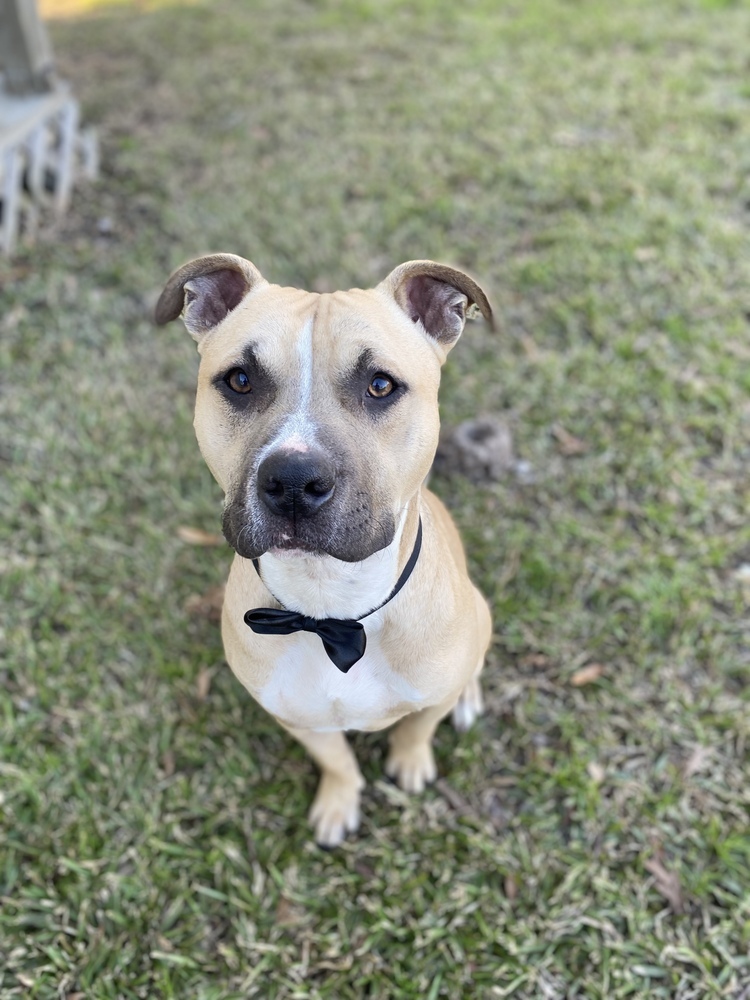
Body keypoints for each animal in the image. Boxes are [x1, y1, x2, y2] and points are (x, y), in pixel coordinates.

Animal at [156, 256, 496, 844]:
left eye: (380, 385)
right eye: (240, 381)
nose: (293, 479)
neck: (332, 606)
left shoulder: (430, 693)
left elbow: (418, 727)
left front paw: (410, 763)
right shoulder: (295, 718)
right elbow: (336, 759)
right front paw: (339, 801)